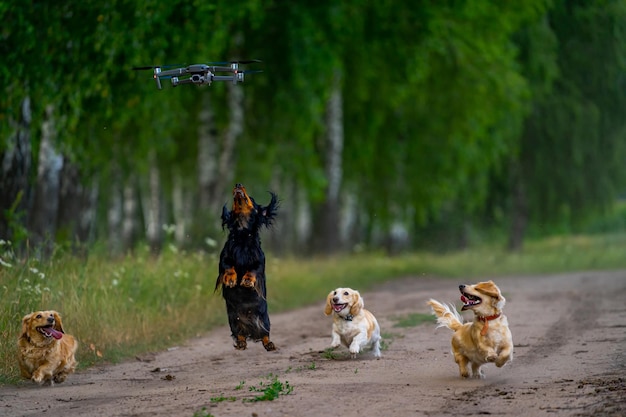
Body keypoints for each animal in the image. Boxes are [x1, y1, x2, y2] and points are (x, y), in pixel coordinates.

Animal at [214, 184, 278, 350]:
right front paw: (231, 279)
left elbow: (253, 270)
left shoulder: (259, 261)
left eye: (253, 199)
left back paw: (269, 344)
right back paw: (241, 342)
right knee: (239, 333)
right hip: (233, 320)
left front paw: (247, 280)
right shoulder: (224, 258)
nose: (238, 184)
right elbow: (228, 266)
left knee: (264, 334)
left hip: (264, 318)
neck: (242, 234)